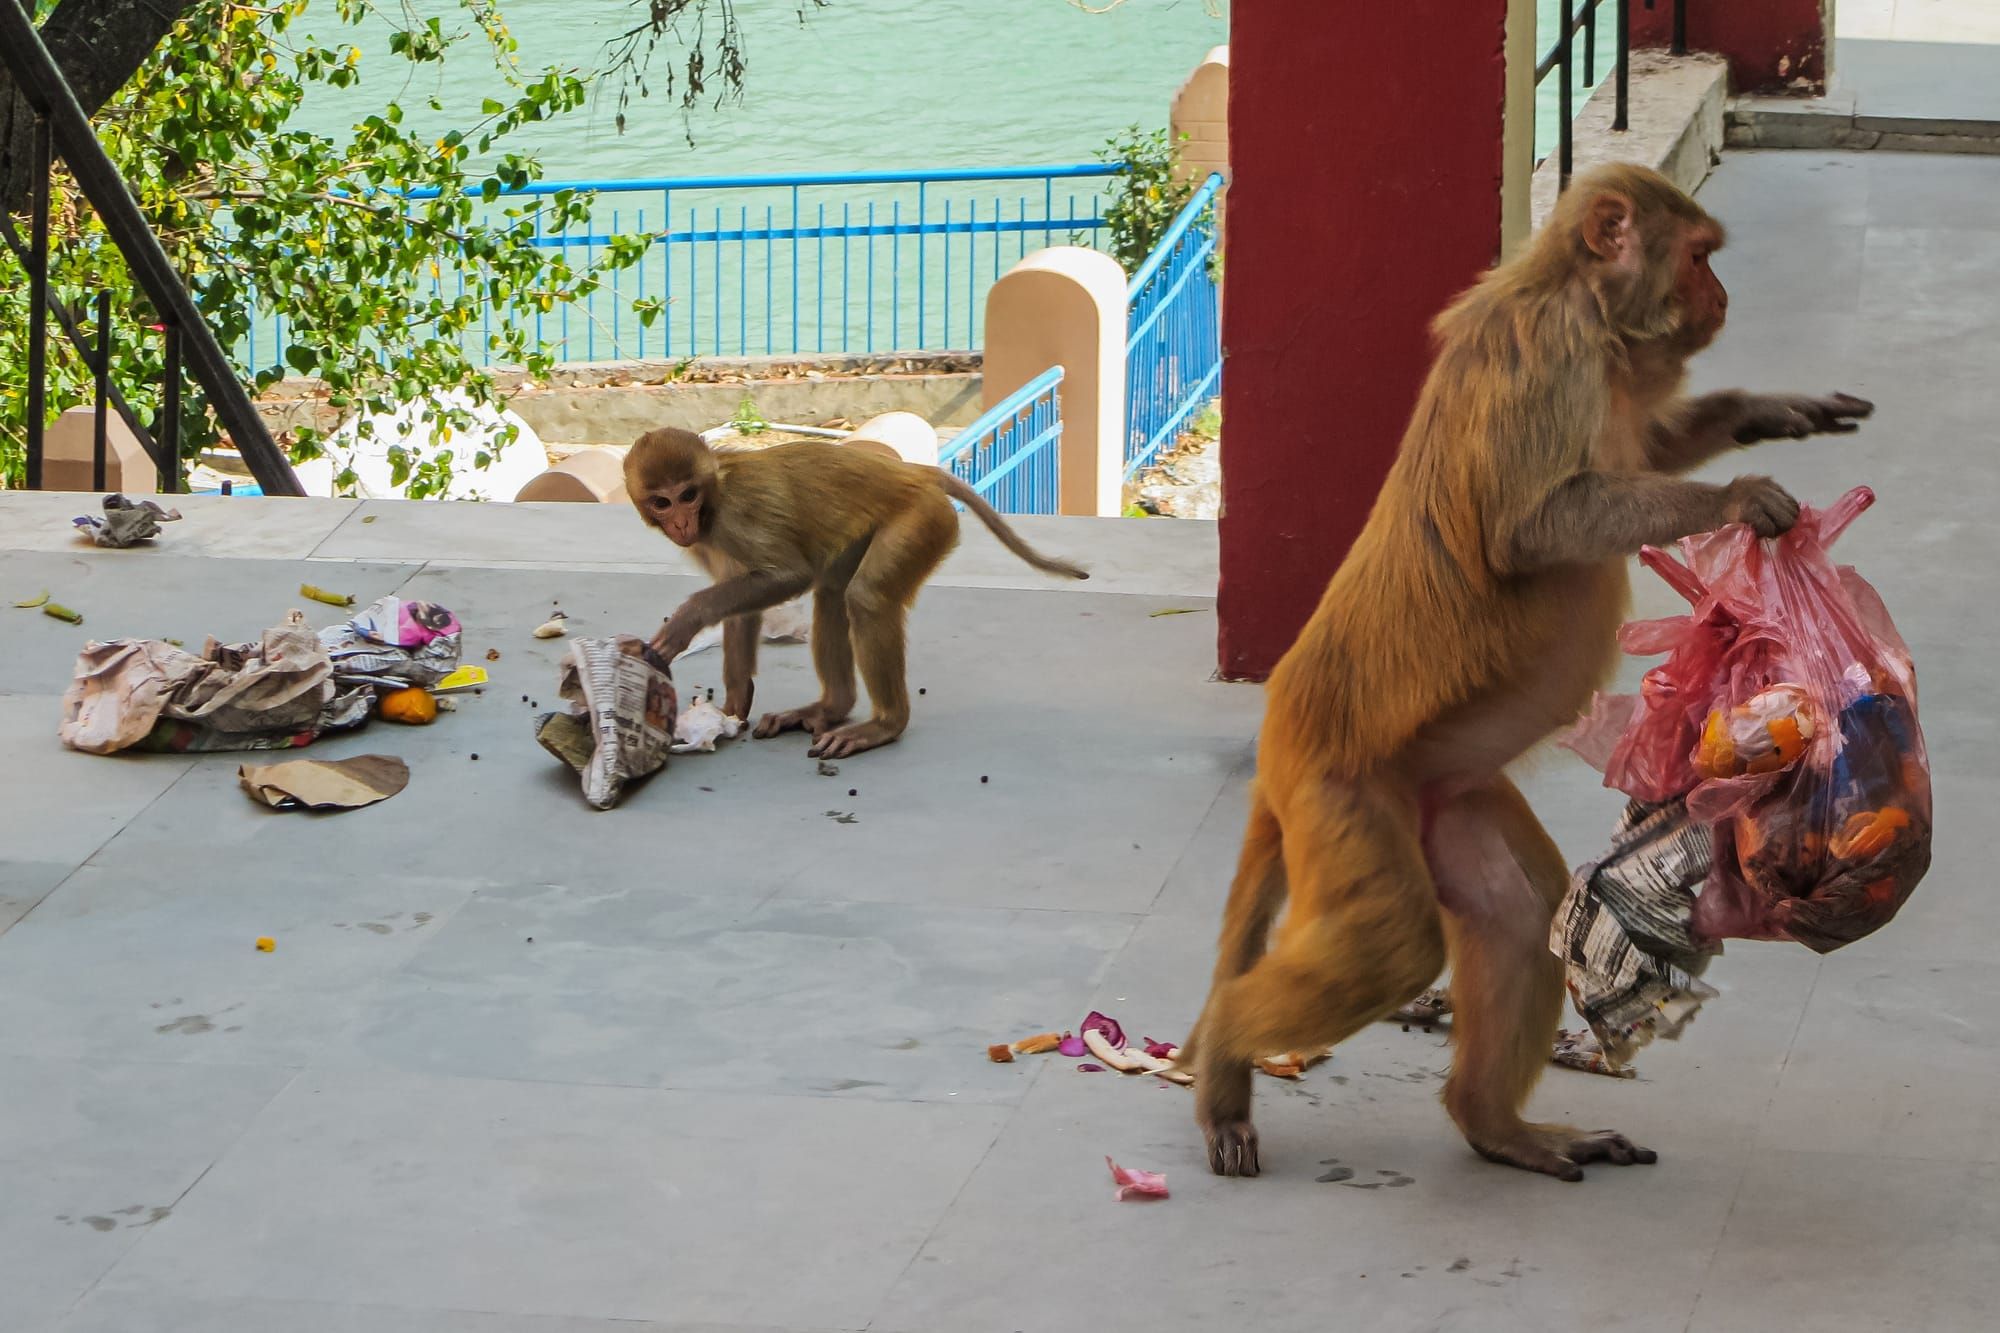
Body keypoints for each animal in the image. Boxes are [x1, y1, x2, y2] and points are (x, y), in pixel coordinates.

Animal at [624, 428, 1088, 760]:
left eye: (688, 495)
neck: (715, 495)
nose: (681, 524)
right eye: (662, 502)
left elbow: (788, 576)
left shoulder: (734, 520)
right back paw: (830, 708)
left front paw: (686, 620)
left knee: (865, 597)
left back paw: (885, 725)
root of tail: (914, 473)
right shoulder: (710, 544)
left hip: (921, 518)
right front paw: (735, 706)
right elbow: (743, 608)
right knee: (832, 594)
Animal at [1178, 163, 1871, 1182]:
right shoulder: (1551, 352)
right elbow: (1533, 526)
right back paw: (1229, 1043)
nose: (1722, 296)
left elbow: (1648, 448)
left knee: (1519, 913)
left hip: (1444, 798)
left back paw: (1495, 1124)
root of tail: (1279, 739)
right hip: (1340, 794)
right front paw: (1738, 498)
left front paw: (1763, 413)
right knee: (1395, 943)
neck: (1584, 308)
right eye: (1699, 257)